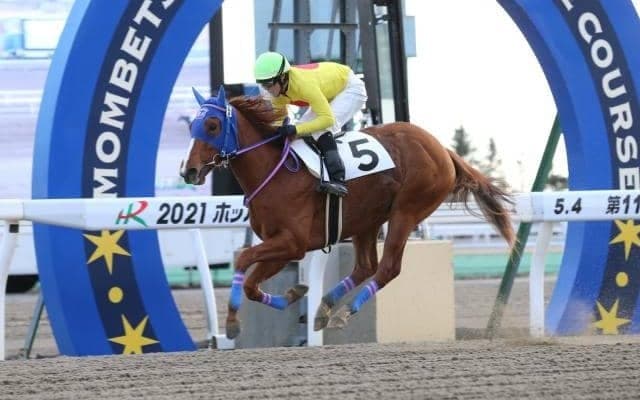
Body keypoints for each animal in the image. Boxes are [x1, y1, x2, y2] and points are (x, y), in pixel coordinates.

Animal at [180, 86, 515, 339]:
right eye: (192, 126)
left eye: (212, 126)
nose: (189, 170)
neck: (274, 172)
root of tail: (442, 149)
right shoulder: (283, 248)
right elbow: (251, 284)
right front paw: (294, 294)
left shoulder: (292, 242)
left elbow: (243, 261)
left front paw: (233, 323)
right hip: (367, 220)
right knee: (366, 266)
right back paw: (325, 308)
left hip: (406, 211)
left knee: (388, 268)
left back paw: (343, 313)